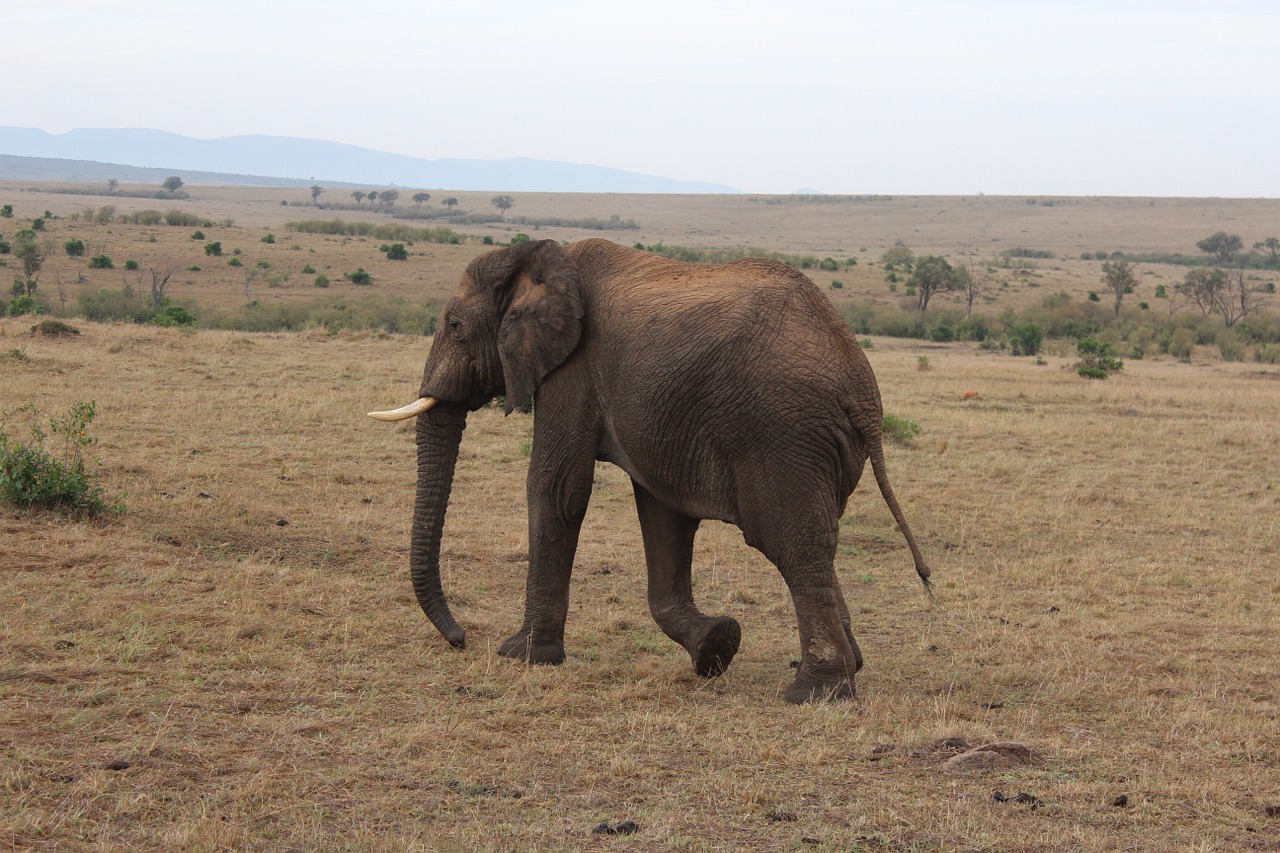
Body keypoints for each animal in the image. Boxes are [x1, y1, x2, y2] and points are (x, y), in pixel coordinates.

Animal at [371, 236, 931, 696]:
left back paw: (815, 692)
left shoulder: (573, 367)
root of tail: (861, 386)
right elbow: (663, 513)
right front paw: (715, 646)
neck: (536, 257)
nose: (462, 638)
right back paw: (848, 668)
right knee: (820, 539)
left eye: (455, 326)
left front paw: (524, 655)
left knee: (795, 543)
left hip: (785, 434)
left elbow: (557, 489)